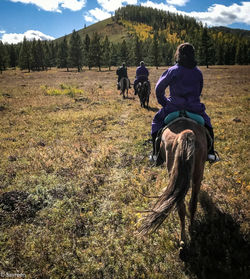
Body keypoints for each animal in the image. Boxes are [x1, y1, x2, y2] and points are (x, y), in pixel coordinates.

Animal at [138, 118, 208, 249]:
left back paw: (183, 238)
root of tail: (186, 133)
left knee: (181, 206)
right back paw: (190, 231)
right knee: (192, 204)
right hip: (197, 173)